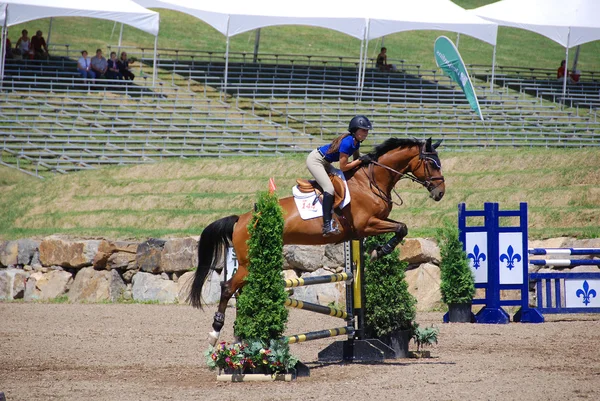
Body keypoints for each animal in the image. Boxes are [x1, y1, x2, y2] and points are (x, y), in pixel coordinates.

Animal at [189, 137, 446, 344]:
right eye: (432, 163)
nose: (440, 193)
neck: (370, 182)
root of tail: (240, 219)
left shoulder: (374, 223)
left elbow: (401, 227)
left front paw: (379, 250)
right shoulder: (366, 225)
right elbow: (402, 228)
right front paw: (380, 251)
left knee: (239, 290)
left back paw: (240, 333)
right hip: (247, 263)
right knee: (227, 288)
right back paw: (216, 332)